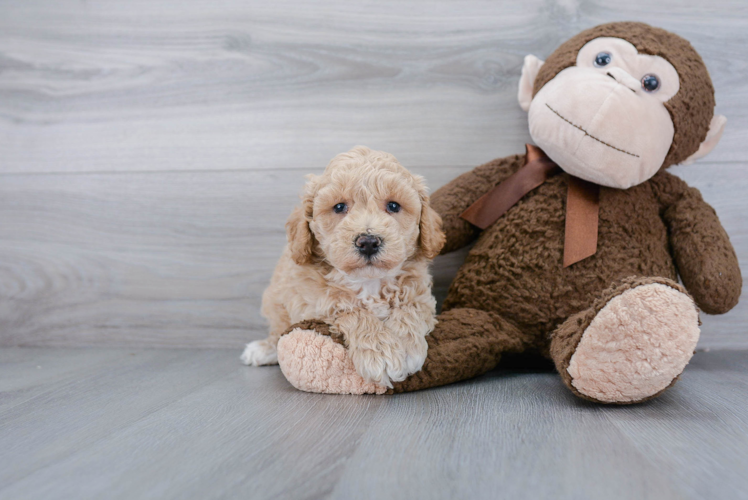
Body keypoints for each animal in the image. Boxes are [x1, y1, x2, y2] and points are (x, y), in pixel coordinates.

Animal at [243, 145, 448, 386]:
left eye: (393, 205)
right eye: (339, 207)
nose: (368, 242)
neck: (369, 282)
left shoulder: (421, 293)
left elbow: (411, 307)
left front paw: (406, 346)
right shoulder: (312, 303)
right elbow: (350, 310)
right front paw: (380, 351)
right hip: (274, 300)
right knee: (277, 331)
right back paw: (262, 349)